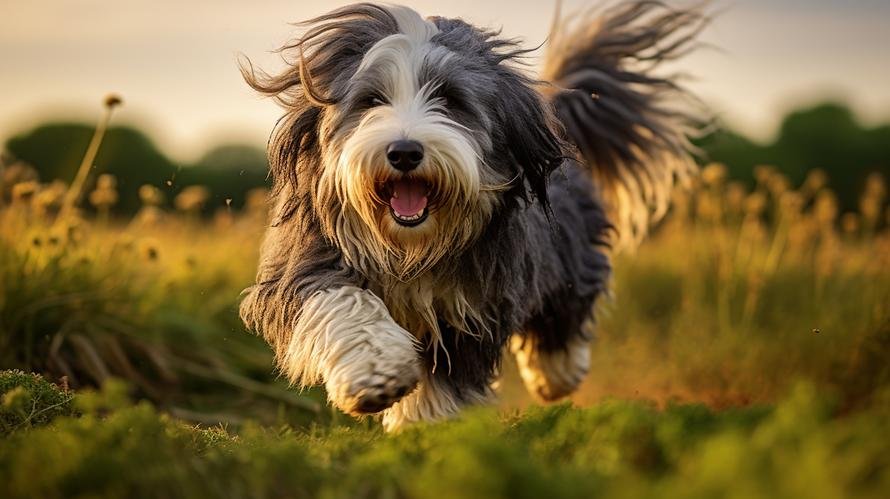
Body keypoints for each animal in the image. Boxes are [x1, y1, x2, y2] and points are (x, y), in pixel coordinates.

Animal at [239, 0, 704, 432]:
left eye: (449, 99)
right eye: (371, 100)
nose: (404, 152)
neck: (410, 249)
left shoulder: (469, 308)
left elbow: (448, 375)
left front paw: (428, 429)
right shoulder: (307, 263)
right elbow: (342, 302)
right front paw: (377, 374)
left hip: (567, 247)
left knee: (570, 301)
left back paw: (557, 374)